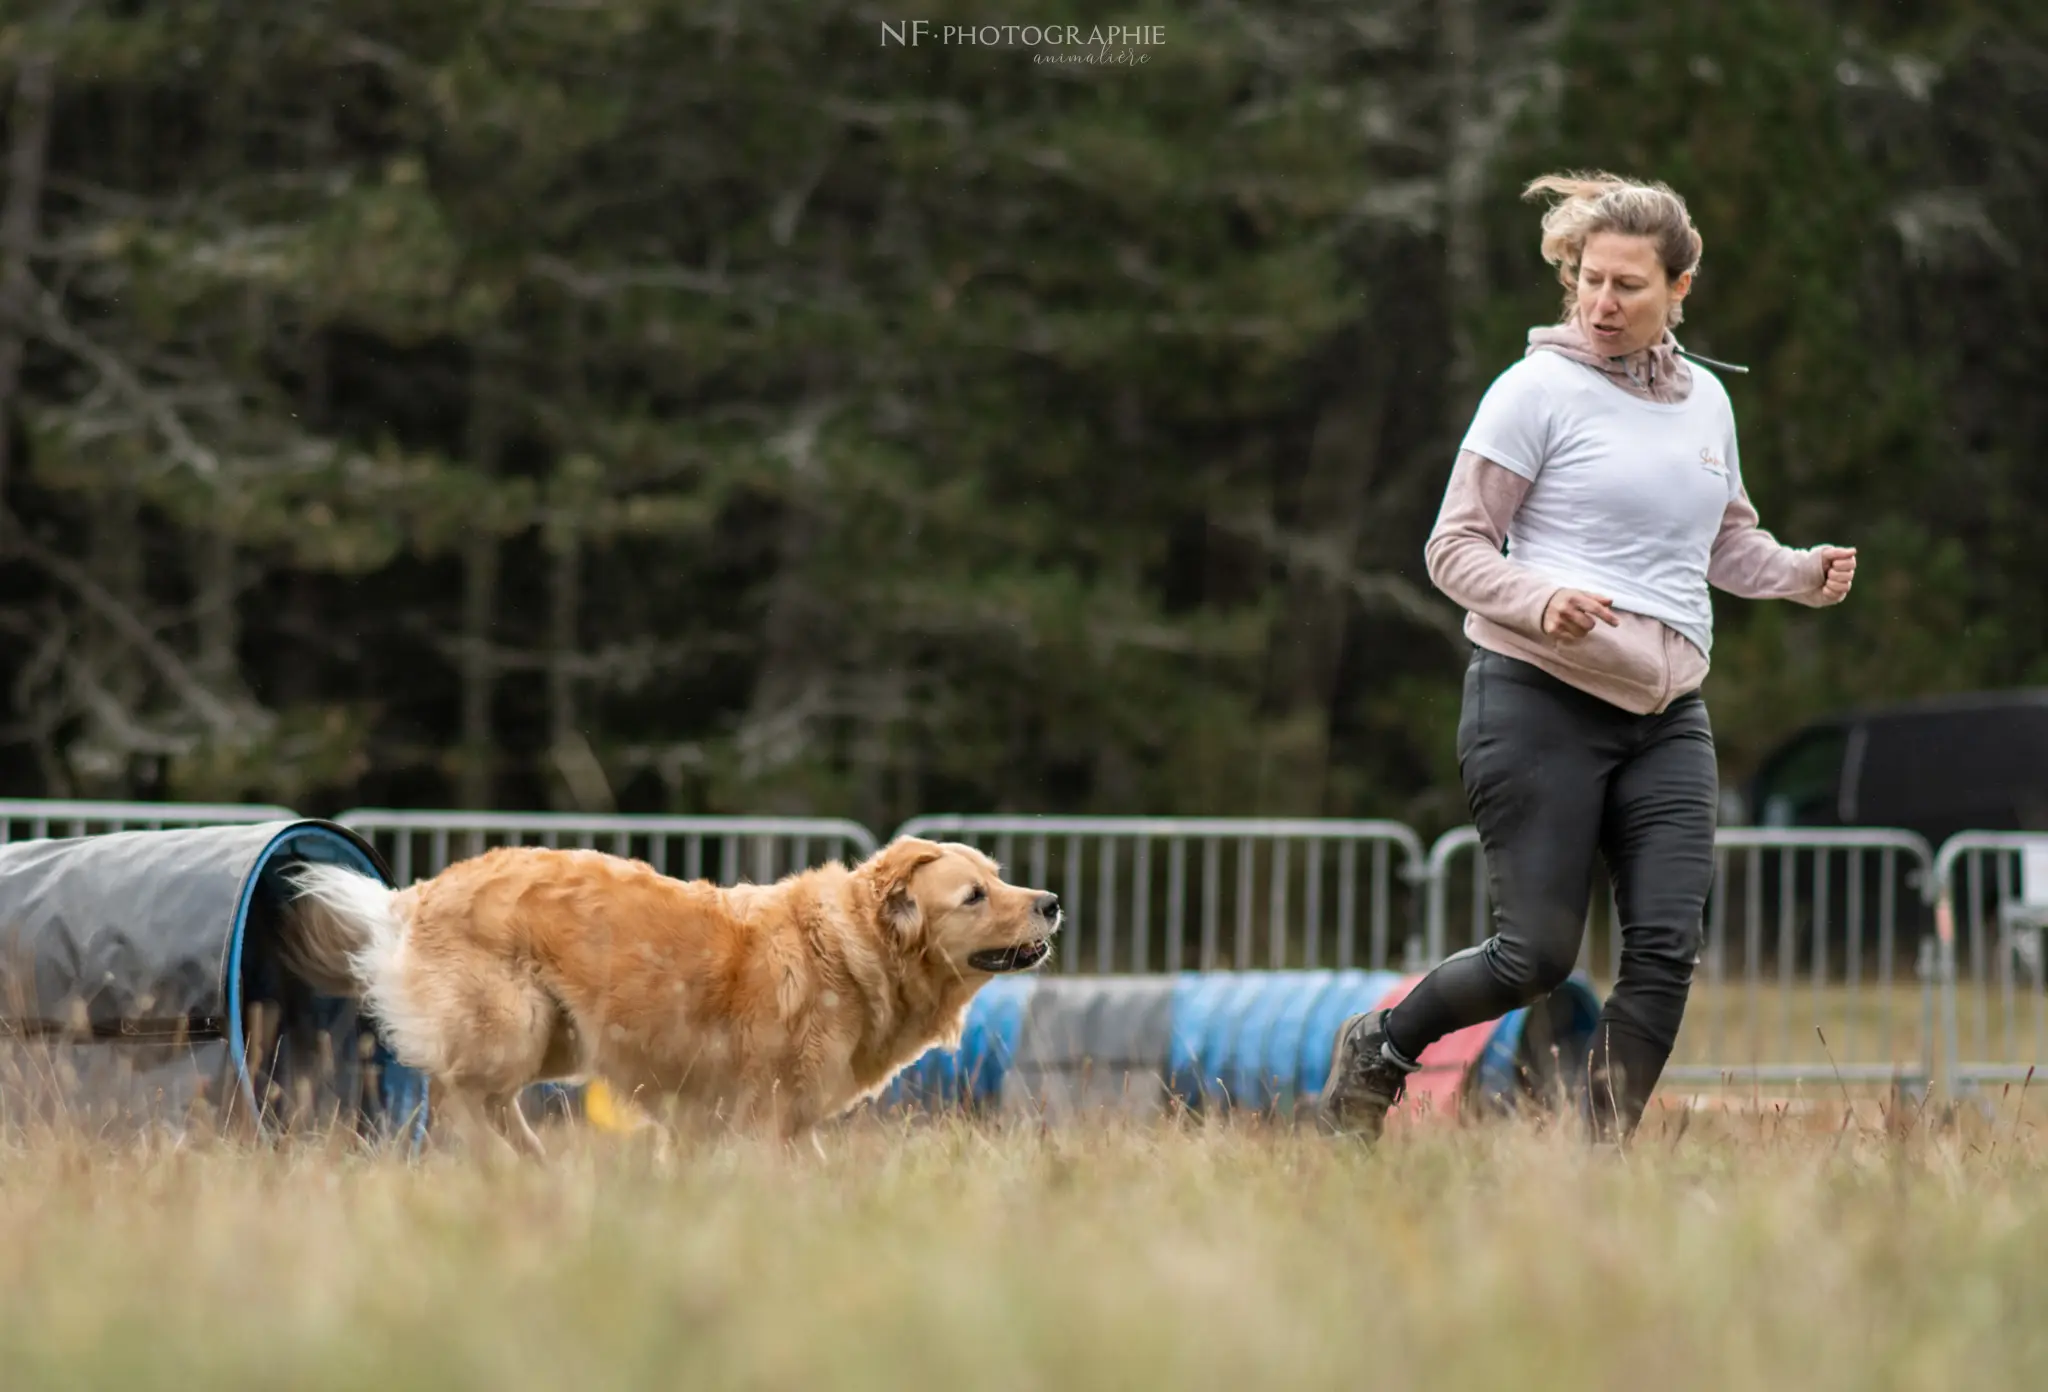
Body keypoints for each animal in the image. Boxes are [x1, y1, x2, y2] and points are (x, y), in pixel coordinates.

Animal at [278, 839, 1064, 1154]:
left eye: (999, 875)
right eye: (974, 895)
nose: (1053, 902)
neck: (848, 951)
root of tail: (413, 895)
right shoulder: (762, 1118)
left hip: (557, 1037)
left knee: (485, 1101)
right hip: (512, 1026)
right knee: (454, 1095)